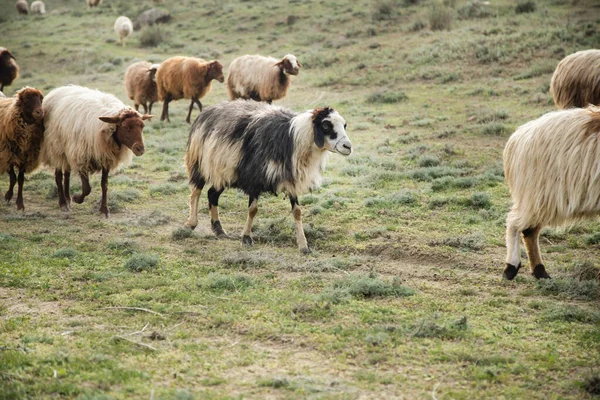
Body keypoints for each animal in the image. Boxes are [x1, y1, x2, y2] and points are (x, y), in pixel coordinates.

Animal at [40, 84, 152, 216]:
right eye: (126, 127)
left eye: (142, 126)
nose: (140, 149)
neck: (106, 130)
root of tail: (59, 89)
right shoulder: (81, 157)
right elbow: (87, 188)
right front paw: (77, 198)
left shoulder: (106, 158)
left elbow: (104, 184)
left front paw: (104, 209)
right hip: (56, 148)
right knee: (58, 175)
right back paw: (63, 203)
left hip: (67, 151)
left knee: (66, 174)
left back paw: (67, 199)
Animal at [183, 98, 352, 252]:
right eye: (326, 125)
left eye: (344, 125)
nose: (348, 147)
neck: (293, 140)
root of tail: (208, 110)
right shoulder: (254, 178)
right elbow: (253, 210)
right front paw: (246, 238)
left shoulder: (290, 179)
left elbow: (297, 212)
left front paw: (303, 245)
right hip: (200, 163)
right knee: (196, 191)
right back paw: (191, 223)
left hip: (225, 172)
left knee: (212, 194)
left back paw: (219, 230)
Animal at [504, 106, 600, 282]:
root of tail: (518, 136)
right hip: (542, 195)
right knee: (515, 224)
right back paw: (511, 268)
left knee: (529, 230)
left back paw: (539, 272)